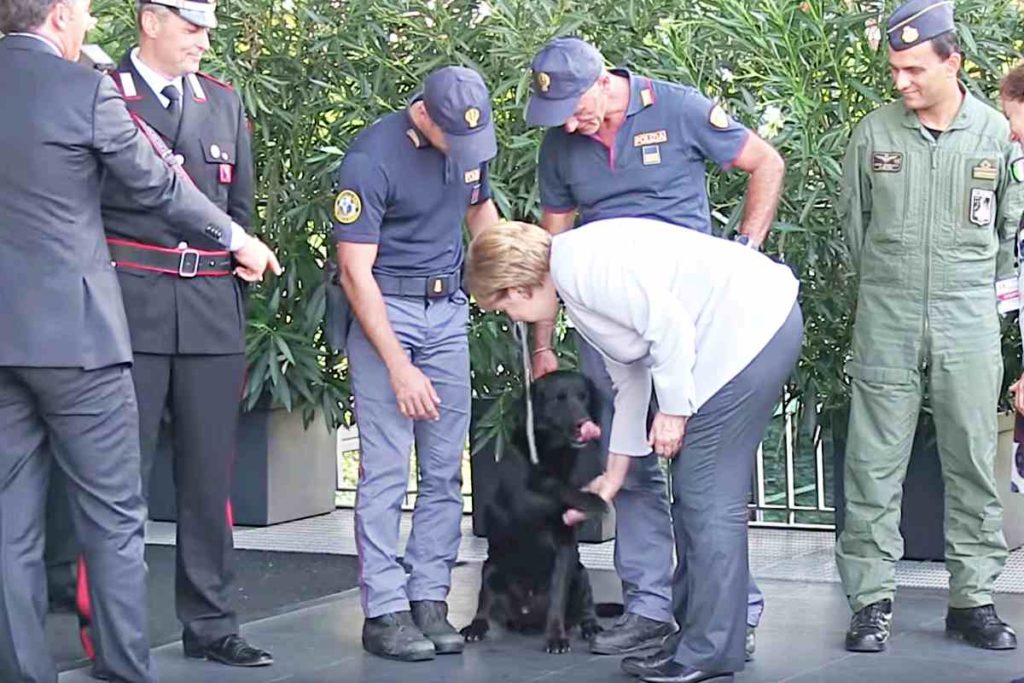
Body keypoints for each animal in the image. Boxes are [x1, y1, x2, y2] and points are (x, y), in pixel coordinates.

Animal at [462, 370, 606, 655]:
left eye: (583, 397)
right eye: (558, 399)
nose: (583, 423)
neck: (552, 452)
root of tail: (528, 619)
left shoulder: (564, 550)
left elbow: (557, 598)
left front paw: (556, 637)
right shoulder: (524, 496)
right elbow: (552, 486)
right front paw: (593, 499)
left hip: (580, 573)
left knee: (587, 606)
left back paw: (590, 625)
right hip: (491, 569)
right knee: (484, 604)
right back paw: (476, 627)